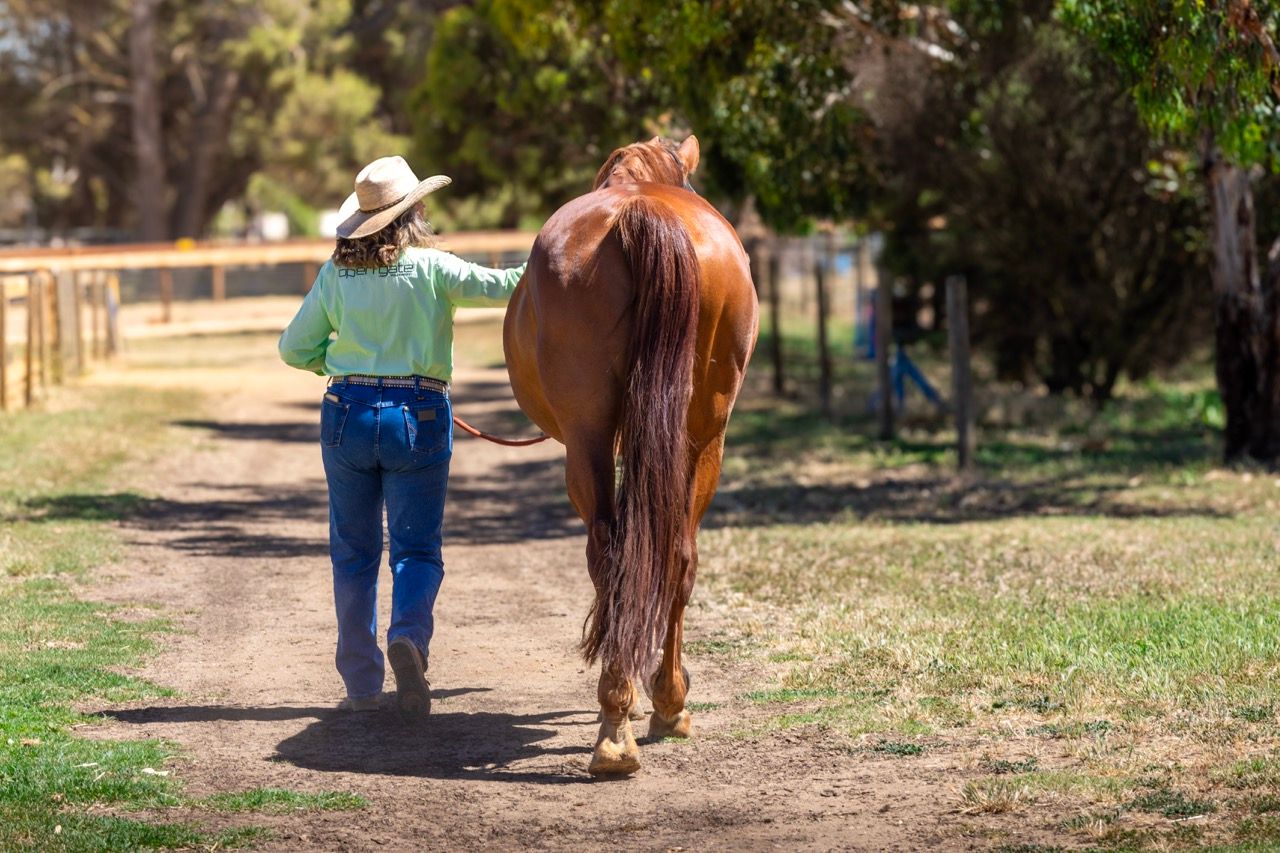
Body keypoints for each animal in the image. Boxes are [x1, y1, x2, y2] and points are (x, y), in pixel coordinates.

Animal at [503, 135, 759, 775]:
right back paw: (651, 712)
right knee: (676, 554)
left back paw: (627, 720)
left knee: (615, 552)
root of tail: (642, 213)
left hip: (591, 435)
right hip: (701, 433)